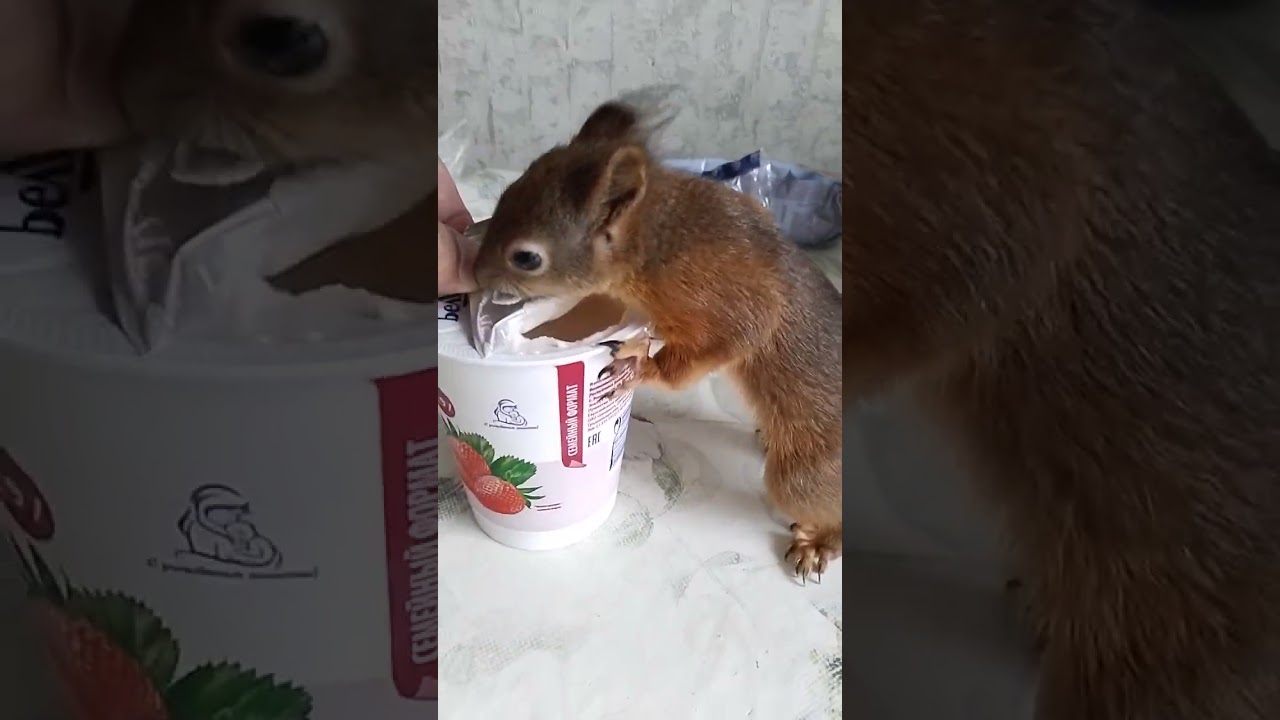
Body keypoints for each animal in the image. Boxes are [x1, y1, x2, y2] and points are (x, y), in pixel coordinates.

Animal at [471, 90, 844, 582]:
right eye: (505, 194)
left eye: (526, 258)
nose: (474, 273)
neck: (655, 241)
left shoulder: (723, 299)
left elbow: (718, 346)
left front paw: (638, 362)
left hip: (804, 476)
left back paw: (818, 542)